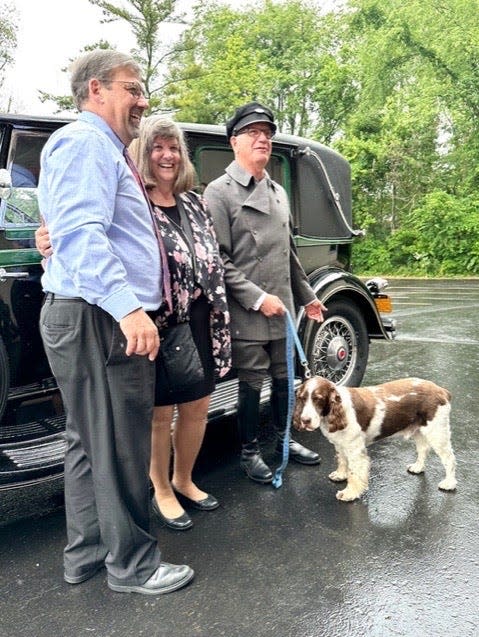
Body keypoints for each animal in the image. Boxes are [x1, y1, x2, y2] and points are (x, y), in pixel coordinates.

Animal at [292, 376, 458, 500]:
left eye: (318, 399)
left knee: (449, 459)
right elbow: (343, 461)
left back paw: (449, 483)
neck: (337, 411)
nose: (305, 420)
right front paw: (340, 475)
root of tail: (442, 391)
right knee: (423, 449)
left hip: (437, 432)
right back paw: (418, 467)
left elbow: (355, 473)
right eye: (302, 398)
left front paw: (349, 493)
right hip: (419, 430)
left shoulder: (356, 449)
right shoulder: (341, 445)